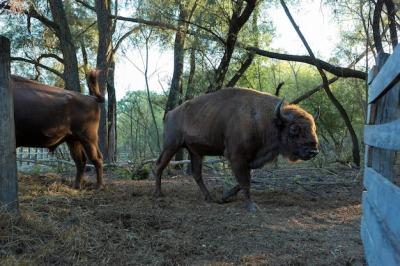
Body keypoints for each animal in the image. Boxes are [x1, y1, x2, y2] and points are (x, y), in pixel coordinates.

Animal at [153, 88, 318, 211]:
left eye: (314, 127)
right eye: (294, 129)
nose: (313, 151)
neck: (265, 119)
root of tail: (170, 113)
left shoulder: (250, 160)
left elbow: (246, 179)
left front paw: (225, 197)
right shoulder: (237, 157)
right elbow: (245, 181)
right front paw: (252, 206)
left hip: (195, 152)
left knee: (196, 174)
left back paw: (209, 198)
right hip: (171, 146)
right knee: (160, 165)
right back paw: (159, 194)